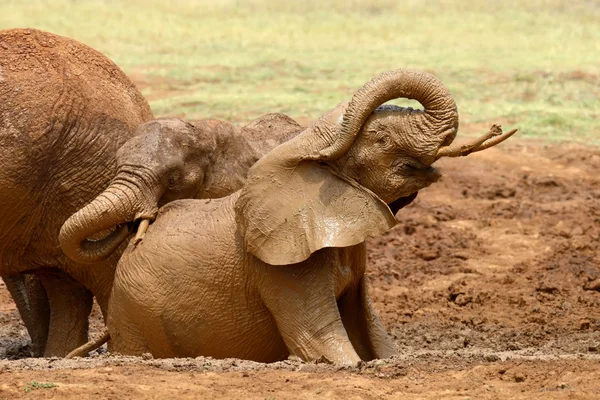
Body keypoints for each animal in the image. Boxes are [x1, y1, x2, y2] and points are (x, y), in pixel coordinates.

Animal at [104, 69, 516, 366]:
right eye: (381, 140)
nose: (499, 126)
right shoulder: (281, 267)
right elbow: (321, 344)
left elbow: (371, 332)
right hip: (132, 312)